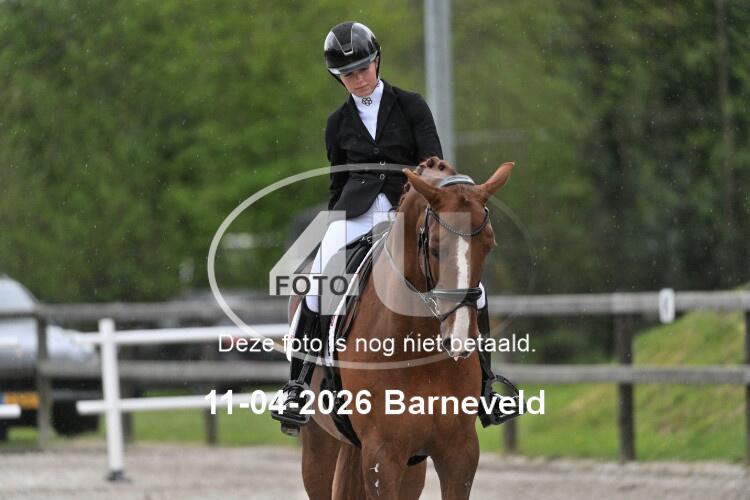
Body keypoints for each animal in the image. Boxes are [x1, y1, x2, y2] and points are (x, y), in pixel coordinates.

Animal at [288, 157, 515, 499]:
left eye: (489, 244)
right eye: (434, 248)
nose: (459, 338)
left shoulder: (459, 452)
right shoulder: (382, 455)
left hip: (411, 465)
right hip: (319, 443)